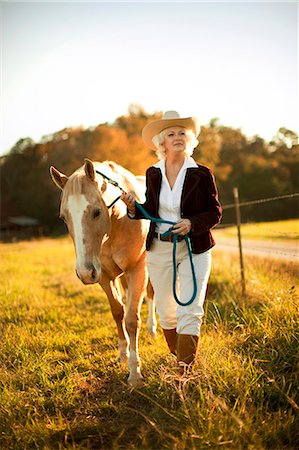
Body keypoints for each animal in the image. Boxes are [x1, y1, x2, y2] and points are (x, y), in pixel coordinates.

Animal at [49, 159, 157, 386]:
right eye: (64, 218)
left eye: (97, 212)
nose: (83, 272)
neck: (119, 220)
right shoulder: (104, 277)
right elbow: (118, 312)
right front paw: (123, 354)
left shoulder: (137, 269)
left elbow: (131, 319)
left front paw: (135, 373)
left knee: (151, 294)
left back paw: (152, 329)